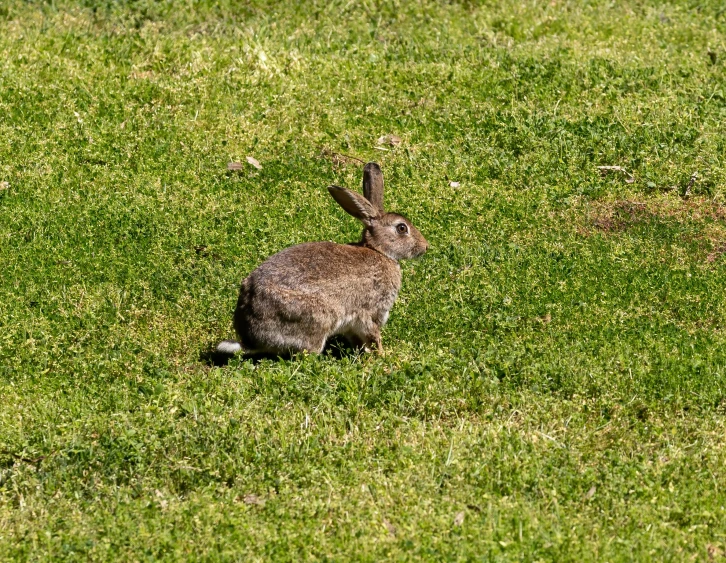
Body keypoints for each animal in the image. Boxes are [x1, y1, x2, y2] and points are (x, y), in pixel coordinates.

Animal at [219, 163, 430, 356]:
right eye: (402, 228)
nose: (425, 246)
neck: (380, 251)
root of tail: (251, 337)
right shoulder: (371, 312)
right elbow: (373, 336)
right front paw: (383, 356)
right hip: (316, 318)